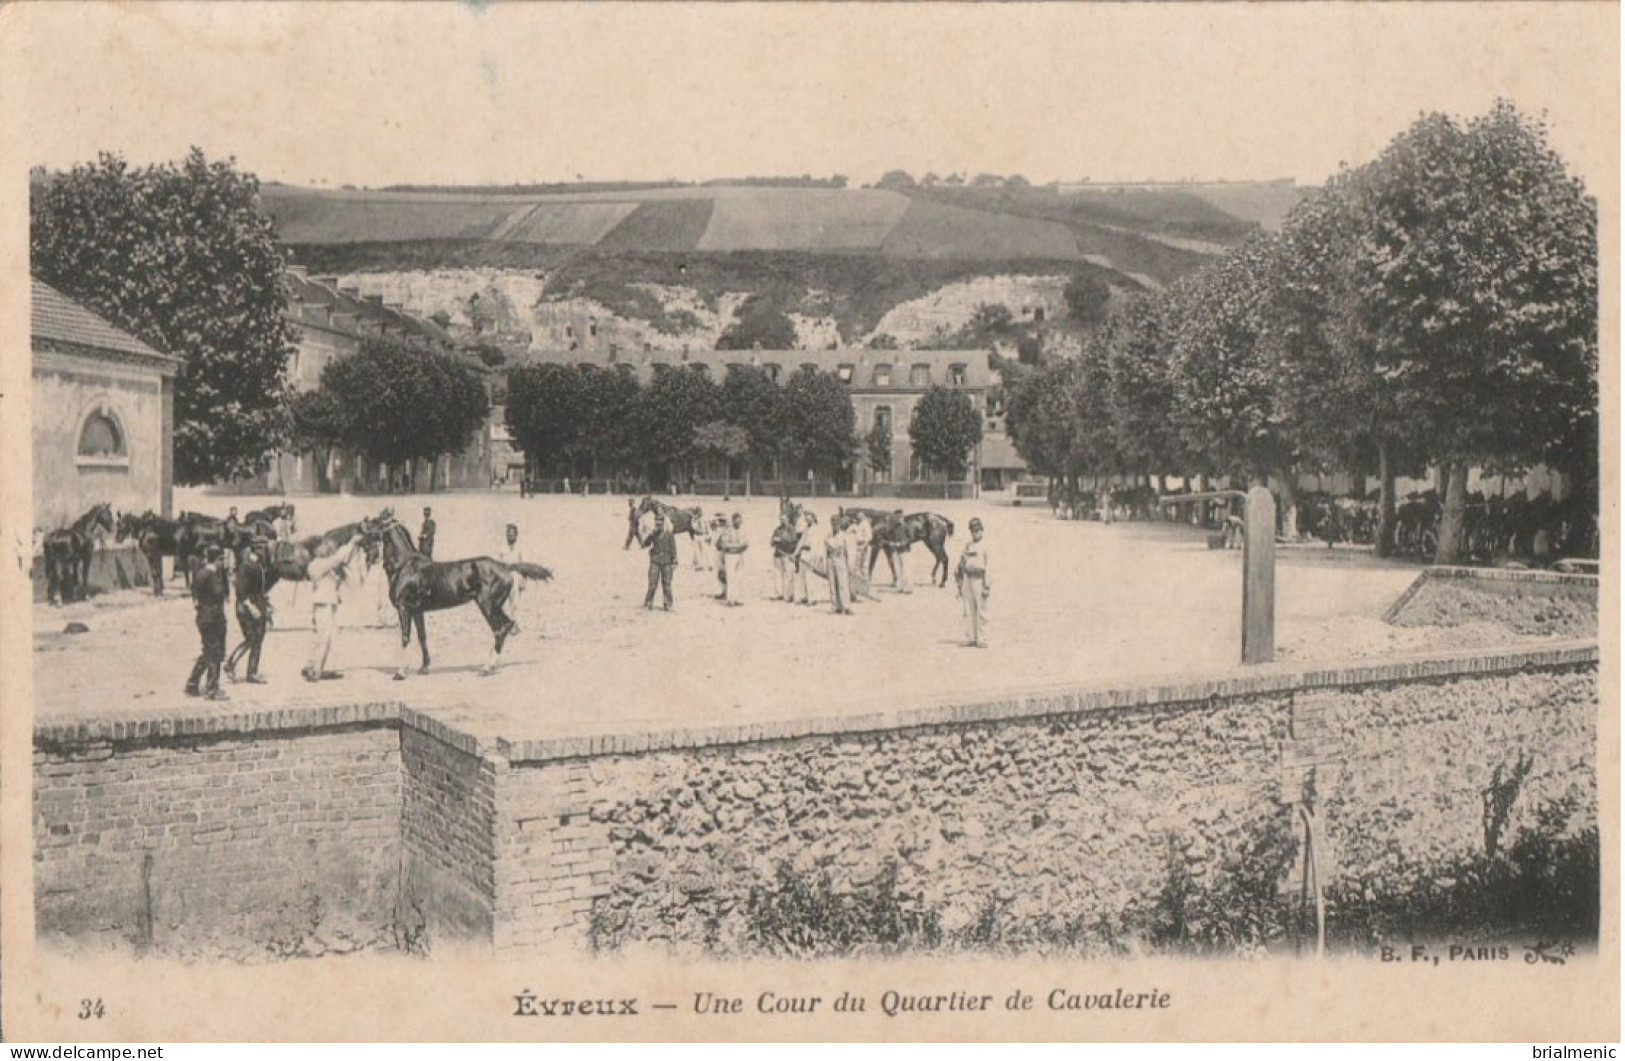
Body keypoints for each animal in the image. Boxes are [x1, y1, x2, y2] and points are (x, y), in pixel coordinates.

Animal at [364, 519, 552, 679]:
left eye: (375, 521)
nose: (362, 531)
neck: (405, 567)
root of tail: (504, 566)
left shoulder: (404, 609)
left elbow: (405, 638)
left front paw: (400, 673)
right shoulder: (417, 611)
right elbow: (422, 636)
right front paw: (424, 667)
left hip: (488, 606)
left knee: (500, 629)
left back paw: (486, 668)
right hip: (495, 607)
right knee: (506, 626)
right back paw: (492, 665)